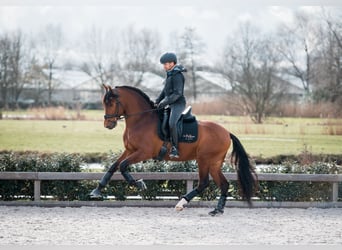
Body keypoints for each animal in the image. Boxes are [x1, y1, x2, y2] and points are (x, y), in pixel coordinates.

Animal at [89, 85, 258, 216]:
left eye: (111, 103)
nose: (108, 124)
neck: (141, 120)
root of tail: (227, 132)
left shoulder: (144, 152)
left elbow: (123, 166)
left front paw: (139, 184)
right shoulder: (130, 150)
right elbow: (114, 166)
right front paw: (97, 191)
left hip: (204, 160)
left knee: (204, 183)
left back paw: (181, 204)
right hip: (214, 163)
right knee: (223, 184)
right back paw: (217, 210)